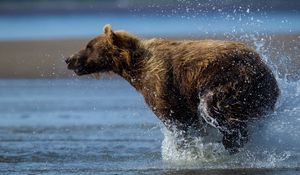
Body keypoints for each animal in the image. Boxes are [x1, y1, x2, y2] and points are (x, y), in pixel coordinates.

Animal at [65, 24, 278, 153]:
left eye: (89, 46)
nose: (68, 59)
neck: (135, 67)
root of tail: (265, 68)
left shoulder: (161, 83)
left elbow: (176, 119)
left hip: (233, 80)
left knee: (216, 107)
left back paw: (231, 141)